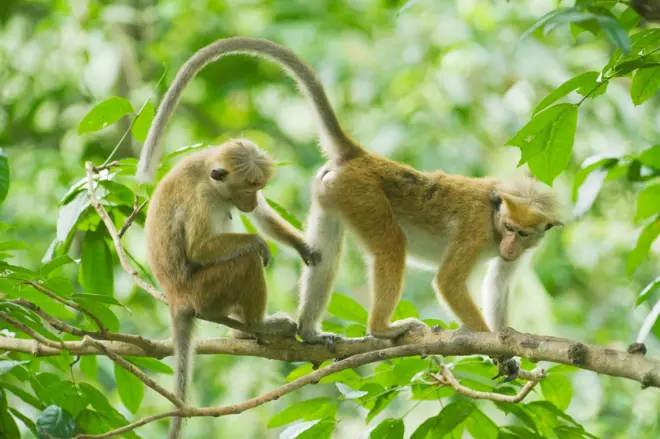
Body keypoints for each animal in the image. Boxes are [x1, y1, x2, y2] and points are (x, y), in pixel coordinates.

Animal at [135, 37, 561, 375]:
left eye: (523, 234)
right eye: (509, 229)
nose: (509, 246)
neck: (494, 214)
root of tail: (364, 157)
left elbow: (499, 284)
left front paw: (507, 351)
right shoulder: (475, 224)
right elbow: (449, 283)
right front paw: (489, 343)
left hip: (334, 193)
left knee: (325, 253)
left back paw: (308, 331)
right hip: (363, 194)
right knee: (390, 246)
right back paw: (380, 328)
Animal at [143, 139, 321, 439]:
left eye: (258, 189)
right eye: (248, 189)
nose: (252, 200)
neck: (207, 173)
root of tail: (176, 296)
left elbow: (263, 216)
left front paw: (301, 244)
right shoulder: (201, 196)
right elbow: (199, 249)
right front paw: (258, 242)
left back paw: (242, 332)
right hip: (204, 291)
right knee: (247, 261)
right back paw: (257, 327)